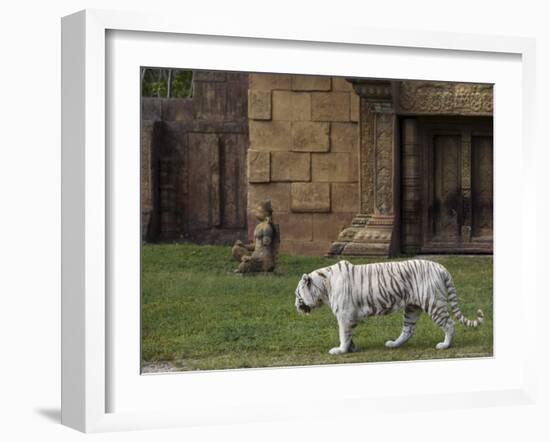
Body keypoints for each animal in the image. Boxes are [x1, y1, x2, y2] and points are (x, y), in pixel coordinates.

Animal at [296, 258, 486, 356]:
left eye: (297, 295)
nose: (296, 306)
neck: (324, 288)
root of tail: (440, 267)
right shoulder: (348, 317)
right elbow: (348, 334)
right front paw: (351, 348)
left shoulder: (344, 314)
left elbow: (343, 334)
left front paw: (340, 350)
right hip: (411, 308)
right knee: (408, 330)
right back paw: (393, 344)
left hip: (433, 304)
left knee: (449, 324)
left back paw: (445, 345)